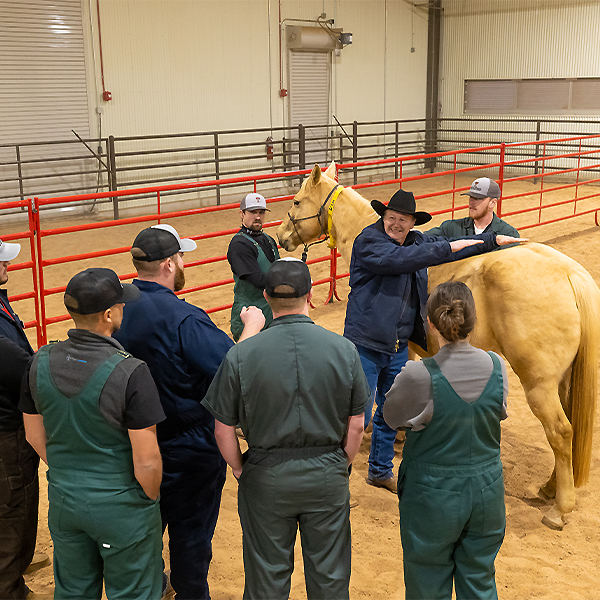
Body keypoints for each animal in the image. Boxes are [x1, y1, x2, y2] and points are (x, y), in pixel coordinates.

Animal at [278, 162, 600, 528]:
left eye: (297, 200)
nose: (281, 236)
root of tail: (570, 275)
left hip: (539, 384)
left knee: (560, 432)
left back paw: (560, 509)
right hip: (563, 382)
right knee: (569, 431)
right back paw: (548, 488)